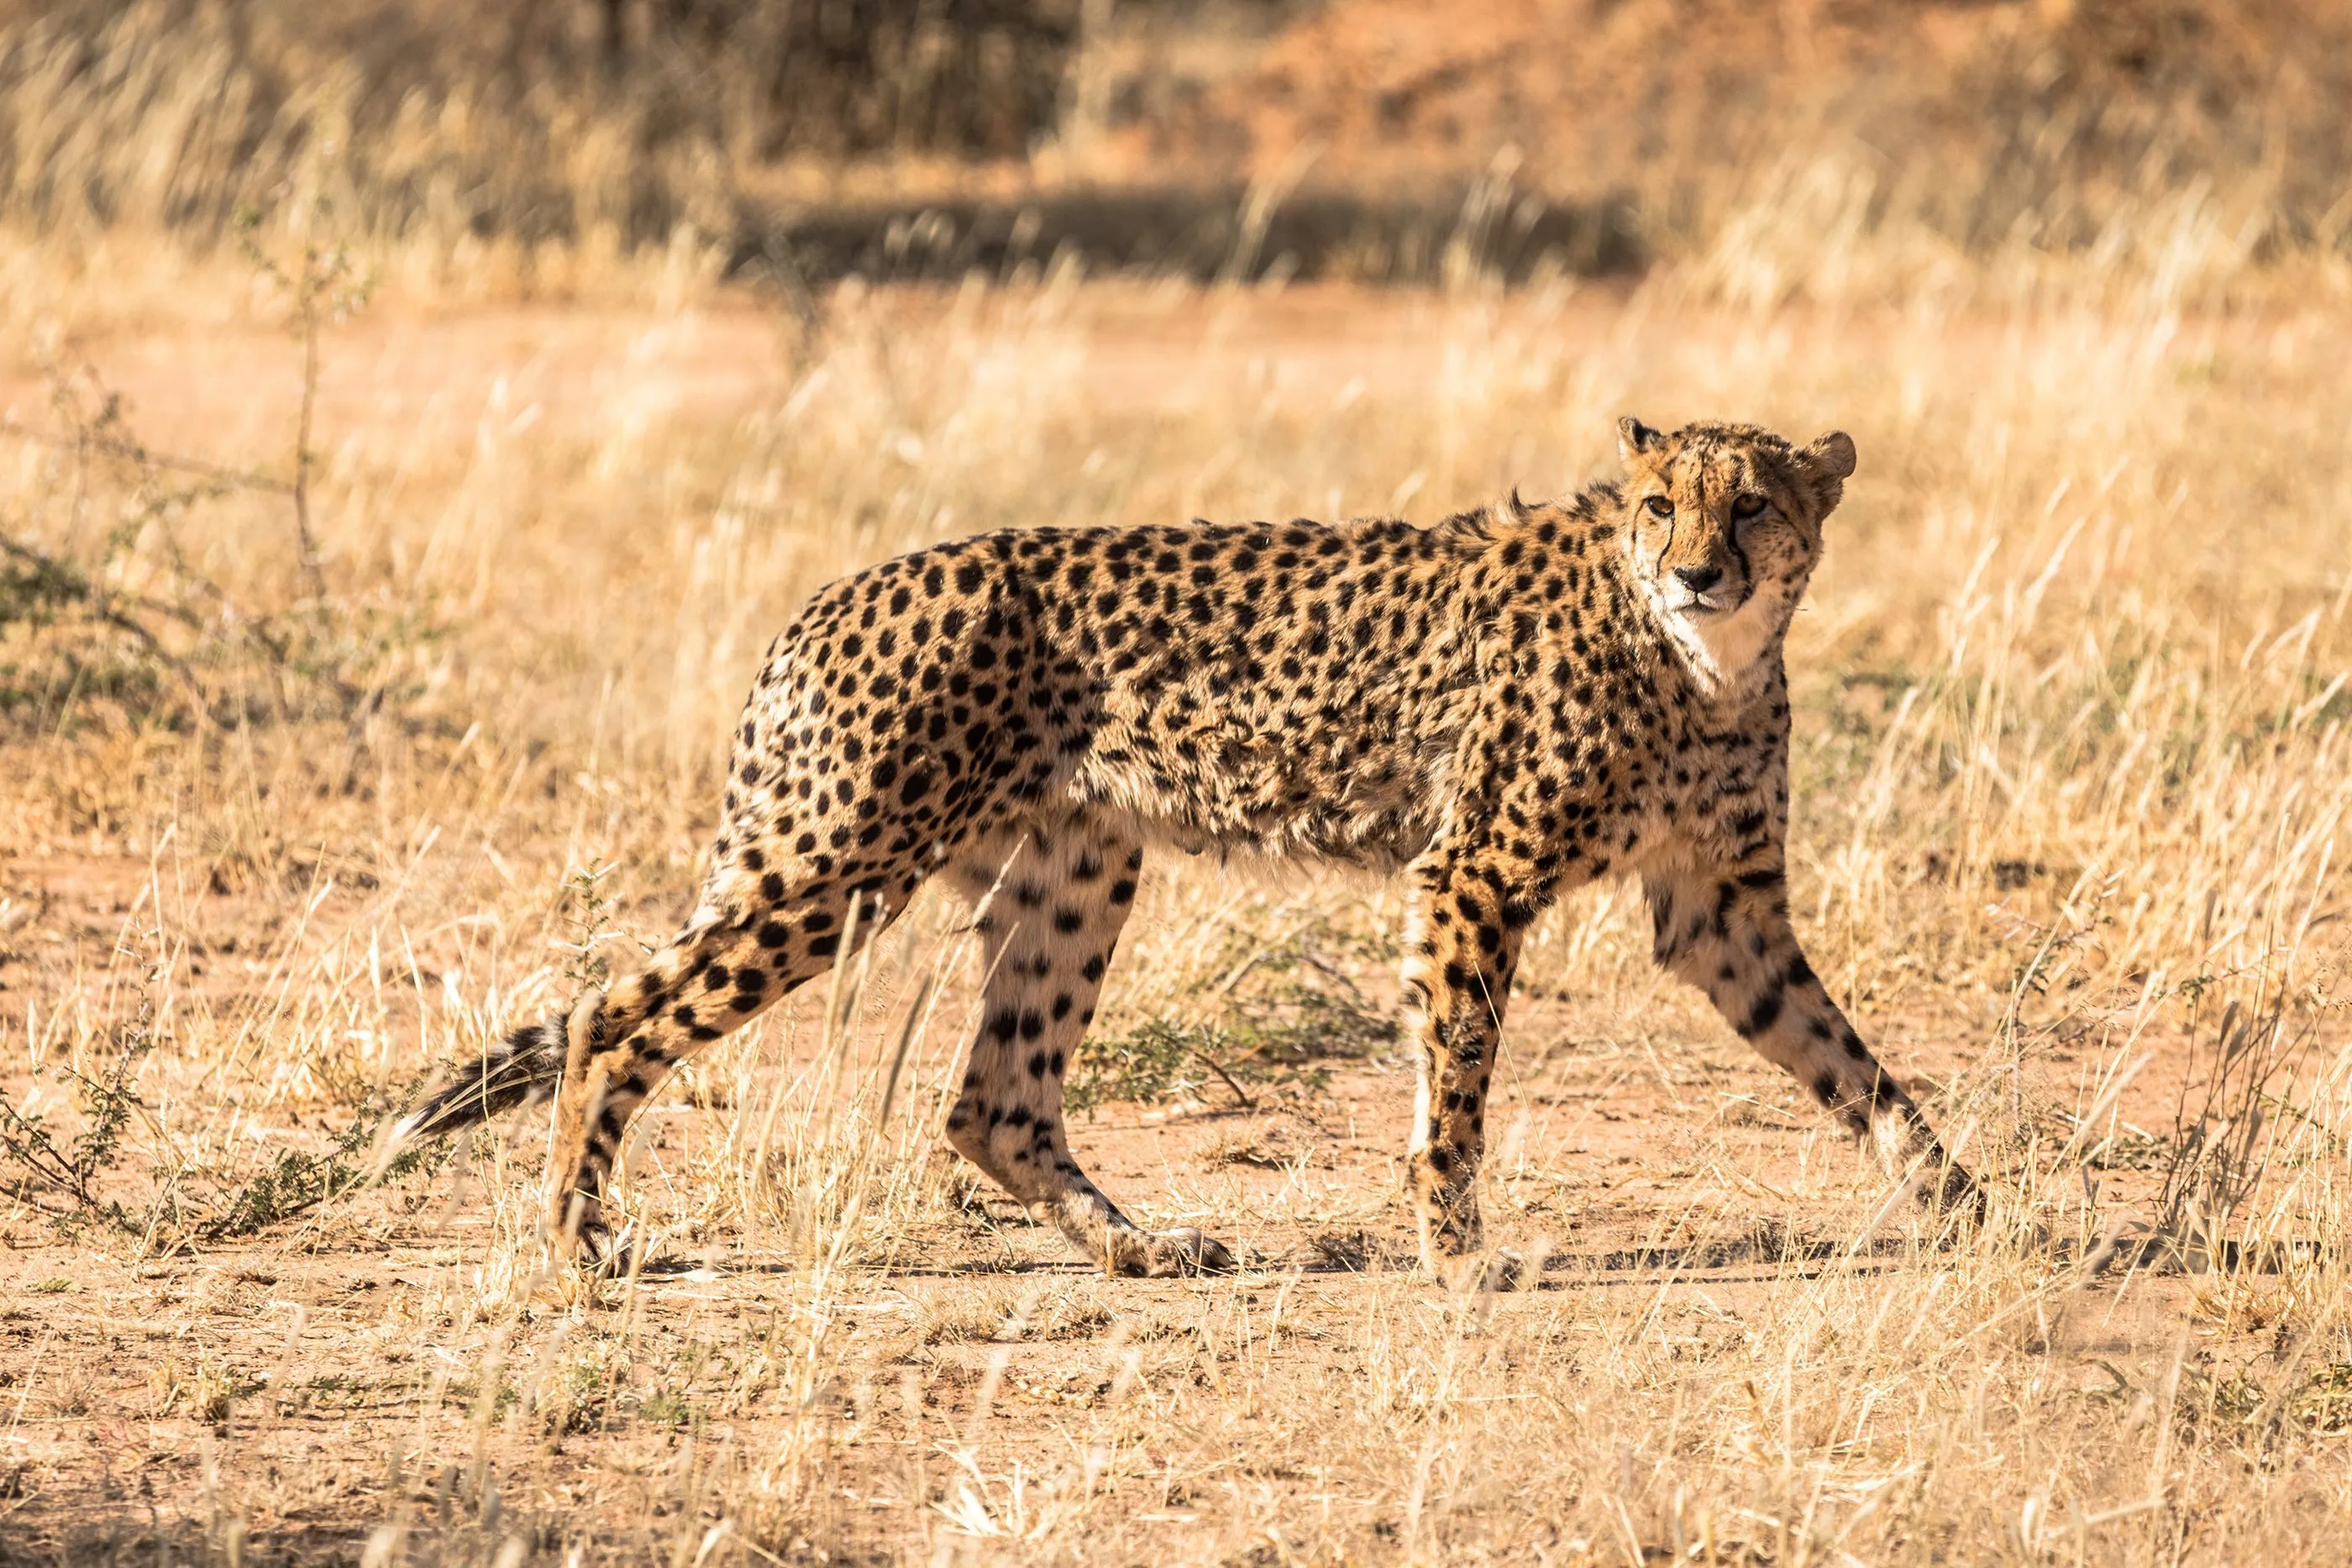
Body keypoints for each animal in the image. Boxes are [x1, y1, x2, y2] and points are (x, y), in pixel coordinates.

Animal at [390, 415, 1977, 1278]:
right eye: (1659, 505)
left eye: (1752, 503)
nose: (1699, 567)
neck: (1703, 659)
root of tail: (843, 588)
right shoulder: (1473, 874)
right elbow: (1457, 1075)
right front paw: (1457, 1249)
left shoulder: (1724, 908)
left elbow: (1849, 1058)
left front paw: (1967, 1198)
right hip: (840, 864)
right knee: (607, 1014)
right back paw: (580, 1240)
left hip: (1077, 867)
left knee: (993, 1098)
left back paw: (1141, 1247)